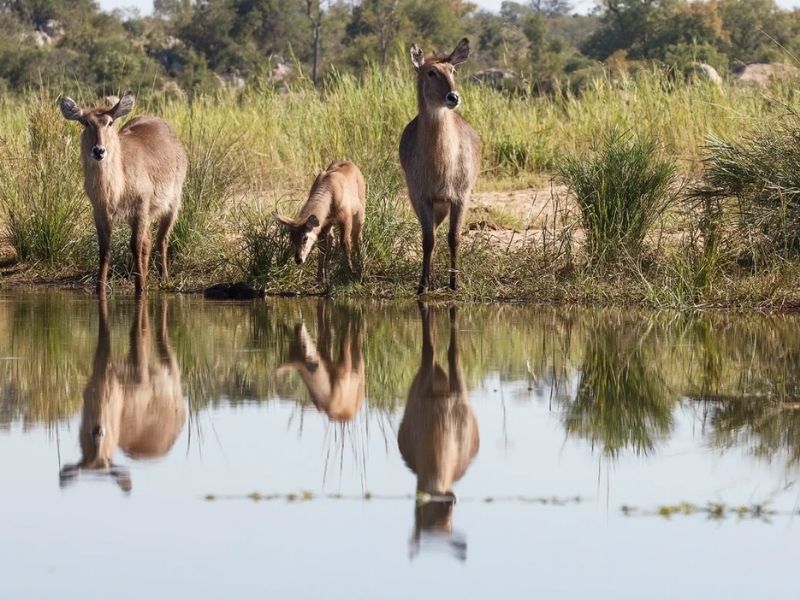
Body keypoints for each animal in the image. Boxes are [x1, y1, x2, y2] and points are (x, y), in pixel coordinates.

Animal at [59, 296, 186, 492]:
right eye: (84, 458)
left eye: (107, 460)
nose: (97, 431)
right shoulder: (100, 364)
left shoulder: (139, 373)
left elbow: (136, 333)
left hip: (171, 371)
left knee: (162, 339)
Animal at [60, 90, 188, 294]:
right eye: (86, 122)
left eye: (110, 122)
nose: (99, 150)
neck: (115, 188)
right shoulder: (100, 212)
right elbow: (105, 250)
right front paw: (100, 288)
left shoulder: (141, 208)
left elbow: (135, 246)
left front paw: (140, 288)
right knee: (148, 240)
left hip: (172, 202)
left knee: (162, 239)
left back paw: (164, 278)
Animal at [396, 302, 478, 560]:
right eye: (420, 516)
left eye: (449, 521)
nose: (448, 501)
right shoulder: (423, 381)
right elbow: (429, 345)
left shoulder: (458, 389)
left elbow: (453, 352)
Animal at [400, 36, 482, 294]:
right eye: (431, 71)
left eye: (453, 70)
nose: (453, 97)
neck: (441, 162)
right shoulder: (422, 197)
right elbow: (428, 240)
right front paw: (423, 284)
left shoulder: (460, 197)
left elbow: (454, 238)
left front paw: (455, 282)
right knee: (432, 233)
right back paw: (431, 276)